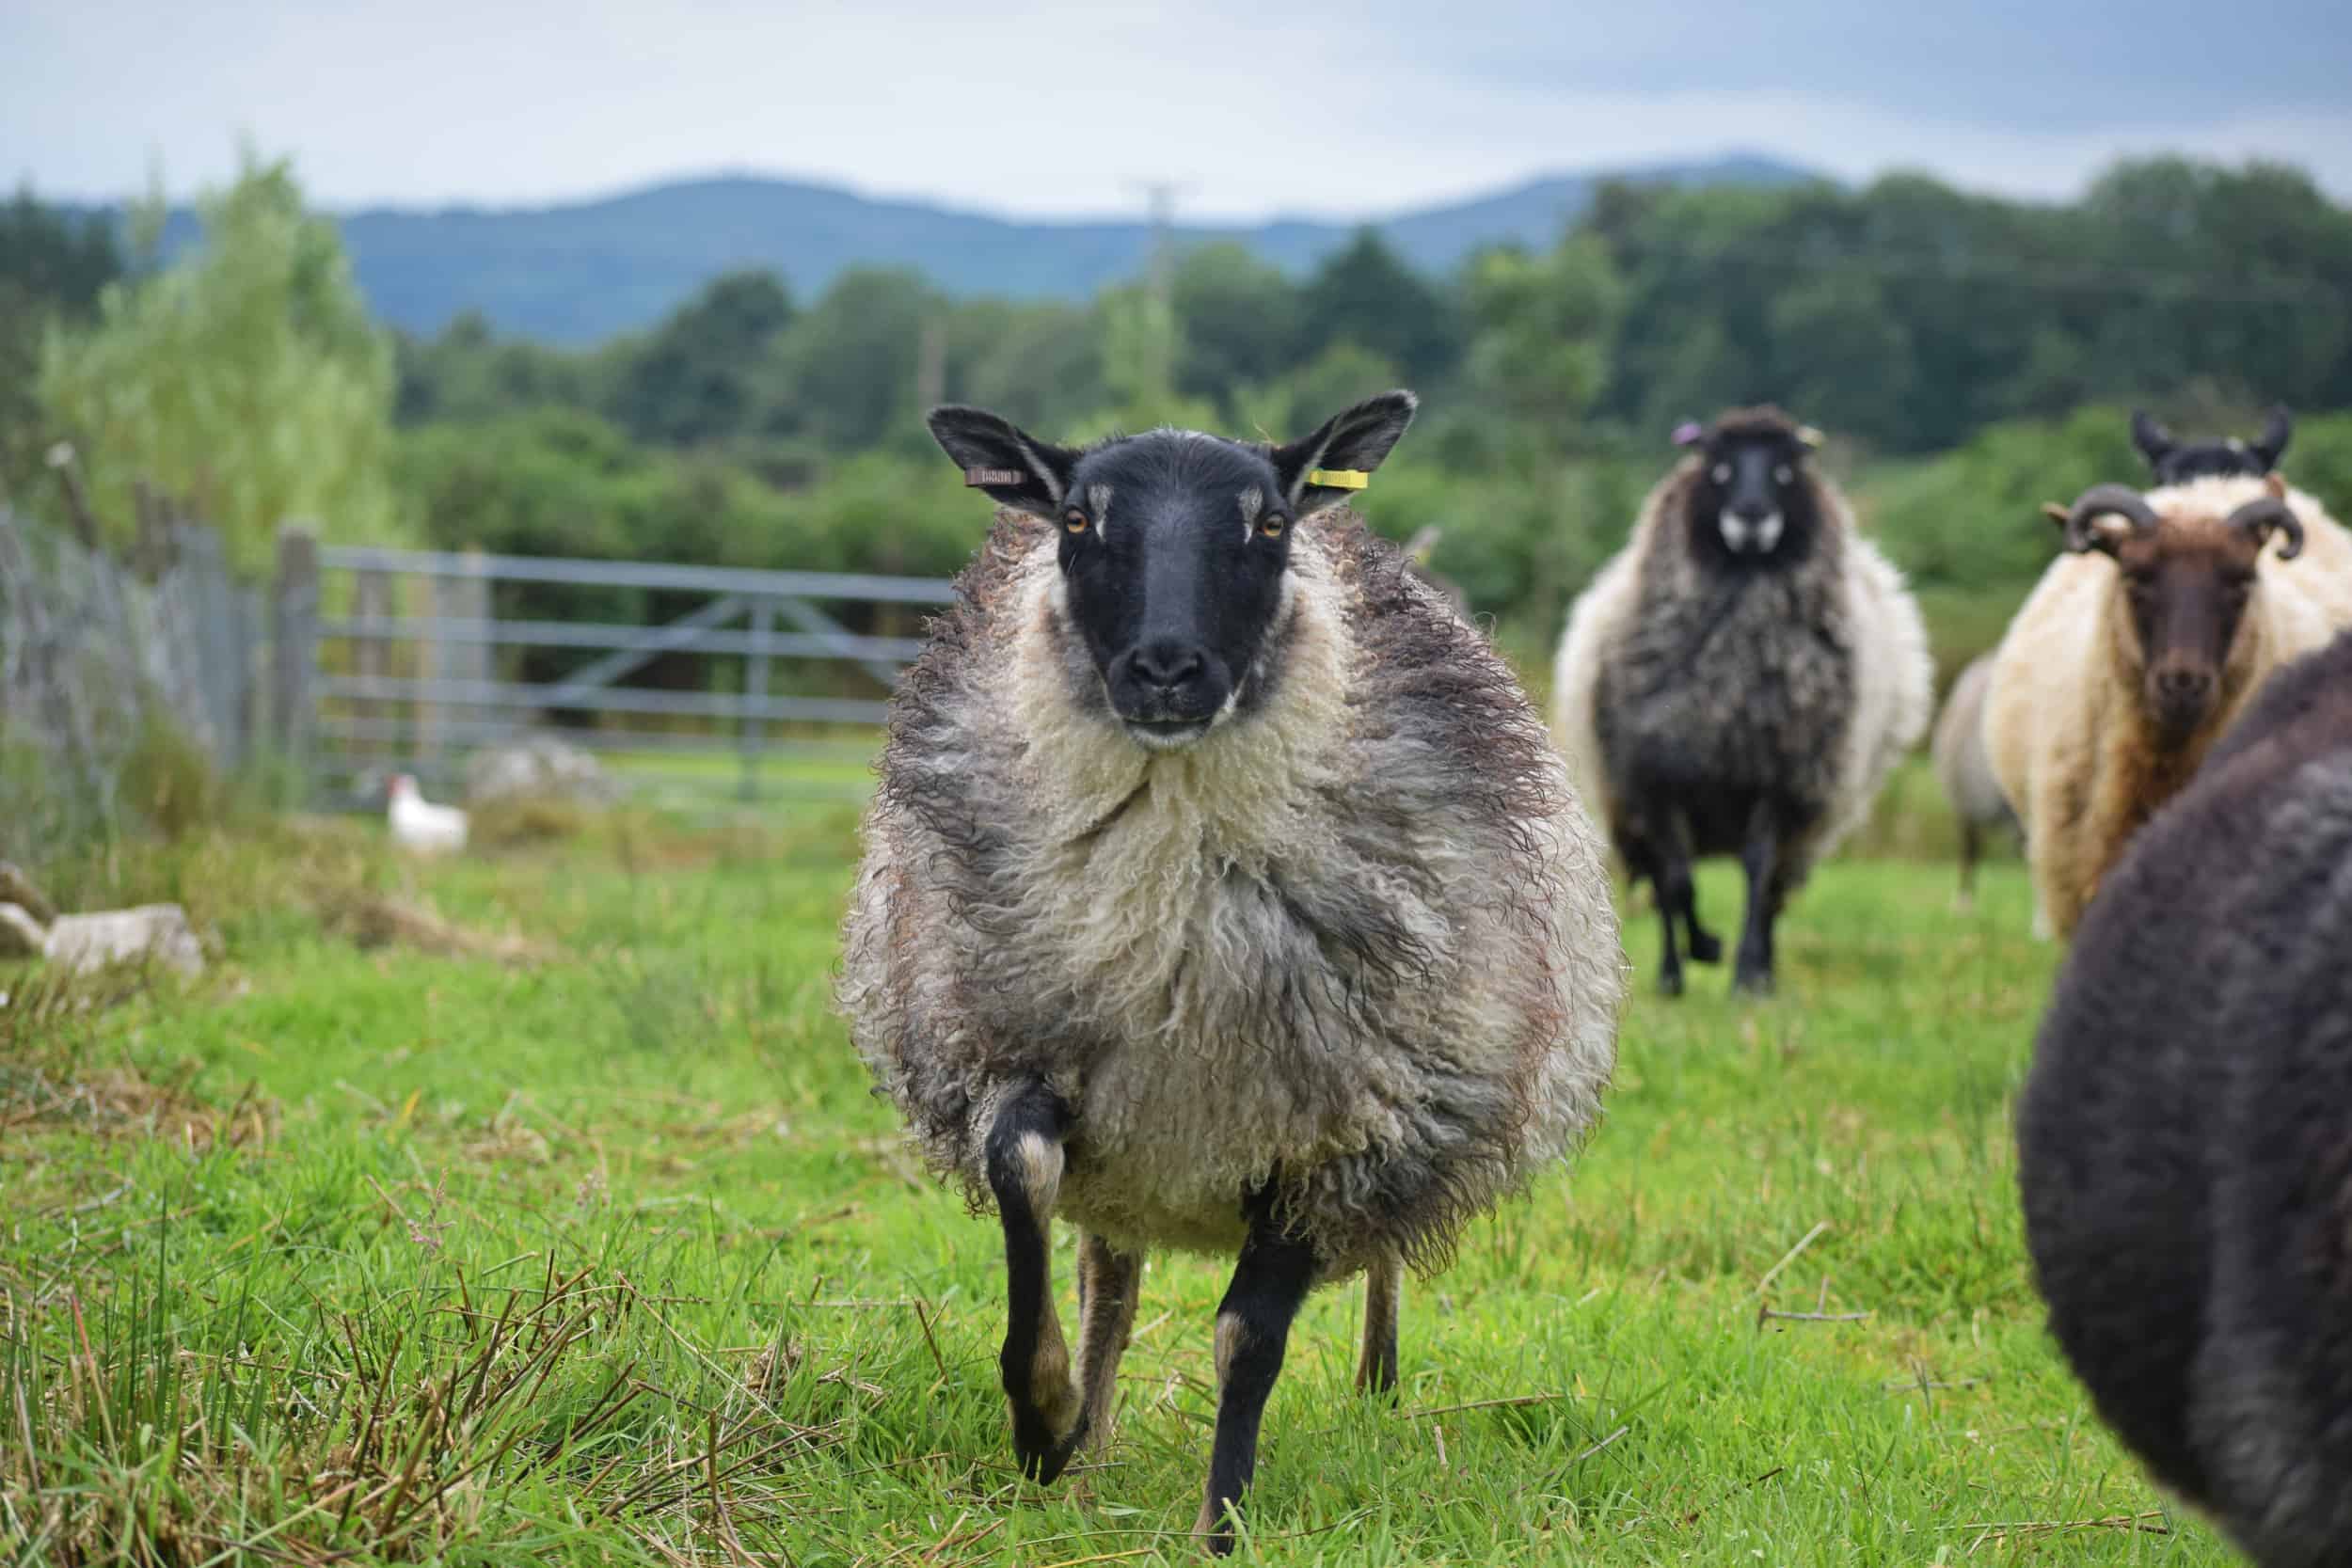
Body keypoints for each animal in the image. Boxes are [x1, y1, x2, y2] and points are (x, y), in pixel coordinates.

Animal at [836, 392, 1624, 1552]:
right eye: (1076, 519)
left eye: (1269, 523)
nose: (1166, 668)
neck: (1173, 918)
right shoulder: (1012, 1048)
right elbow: (1023, 1173)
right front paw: (1045, 1417)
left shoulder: (1338, 1131)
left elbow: (1246, 1337)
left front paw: (1219, 1526)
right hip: (1134, 1148)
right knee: (1110, 1280)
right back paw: (1090, 1440)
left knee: (1376, 1261)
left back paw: (1377, 1382)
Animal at [1551, 406, 1932, 997]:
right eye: (1718, 465)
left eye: (1786, 468)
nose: (1751, 516)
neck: (1727, 689)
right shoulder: (1652, 782)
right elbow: (1677, 881)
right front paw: (1696, 954)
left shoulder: (1778, 781)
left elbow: (1757, 870)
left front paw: (1747, 974)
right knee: (1663, 884)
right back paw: (1675, 969)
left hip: (1812, 818)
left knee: (1775, 889)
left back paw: (1765, 971)